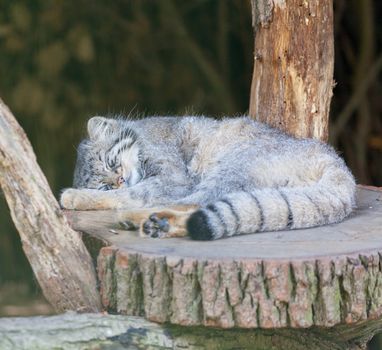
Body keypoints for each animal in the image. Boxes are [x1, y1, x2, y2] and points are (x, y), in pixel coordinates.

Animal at [59, 115, 356, 241]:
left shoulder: (174, 177)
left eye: (112, 163)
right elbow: (124, 193)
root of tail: (334, 160)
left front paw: (76, 196)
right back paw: (158, 224)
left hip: (228, 171)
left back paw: (138, 218)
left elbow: (129, 194)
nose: (120, 178)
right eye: (104, 182)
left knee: (192, 203)